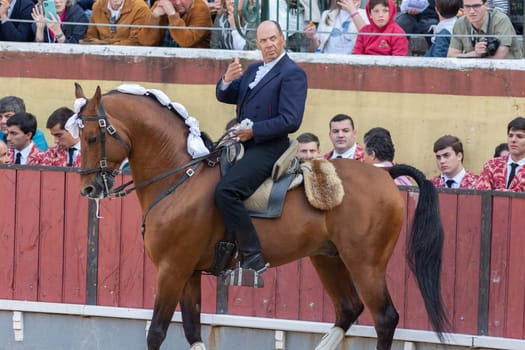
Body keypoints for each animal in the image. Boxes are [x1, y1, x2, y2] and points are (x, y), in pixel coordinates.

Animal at [74, 85, 446, 350]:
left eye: (92, 137)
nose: (89, 189)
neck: (180, 177)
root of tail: (384, 174)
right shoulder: (188, 272)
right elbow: (193, 331)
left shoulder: (171, 269)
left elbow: (157, 331)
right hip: (328, 258)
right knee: (348, 309)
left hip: (366, 263)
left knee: (384, 317)